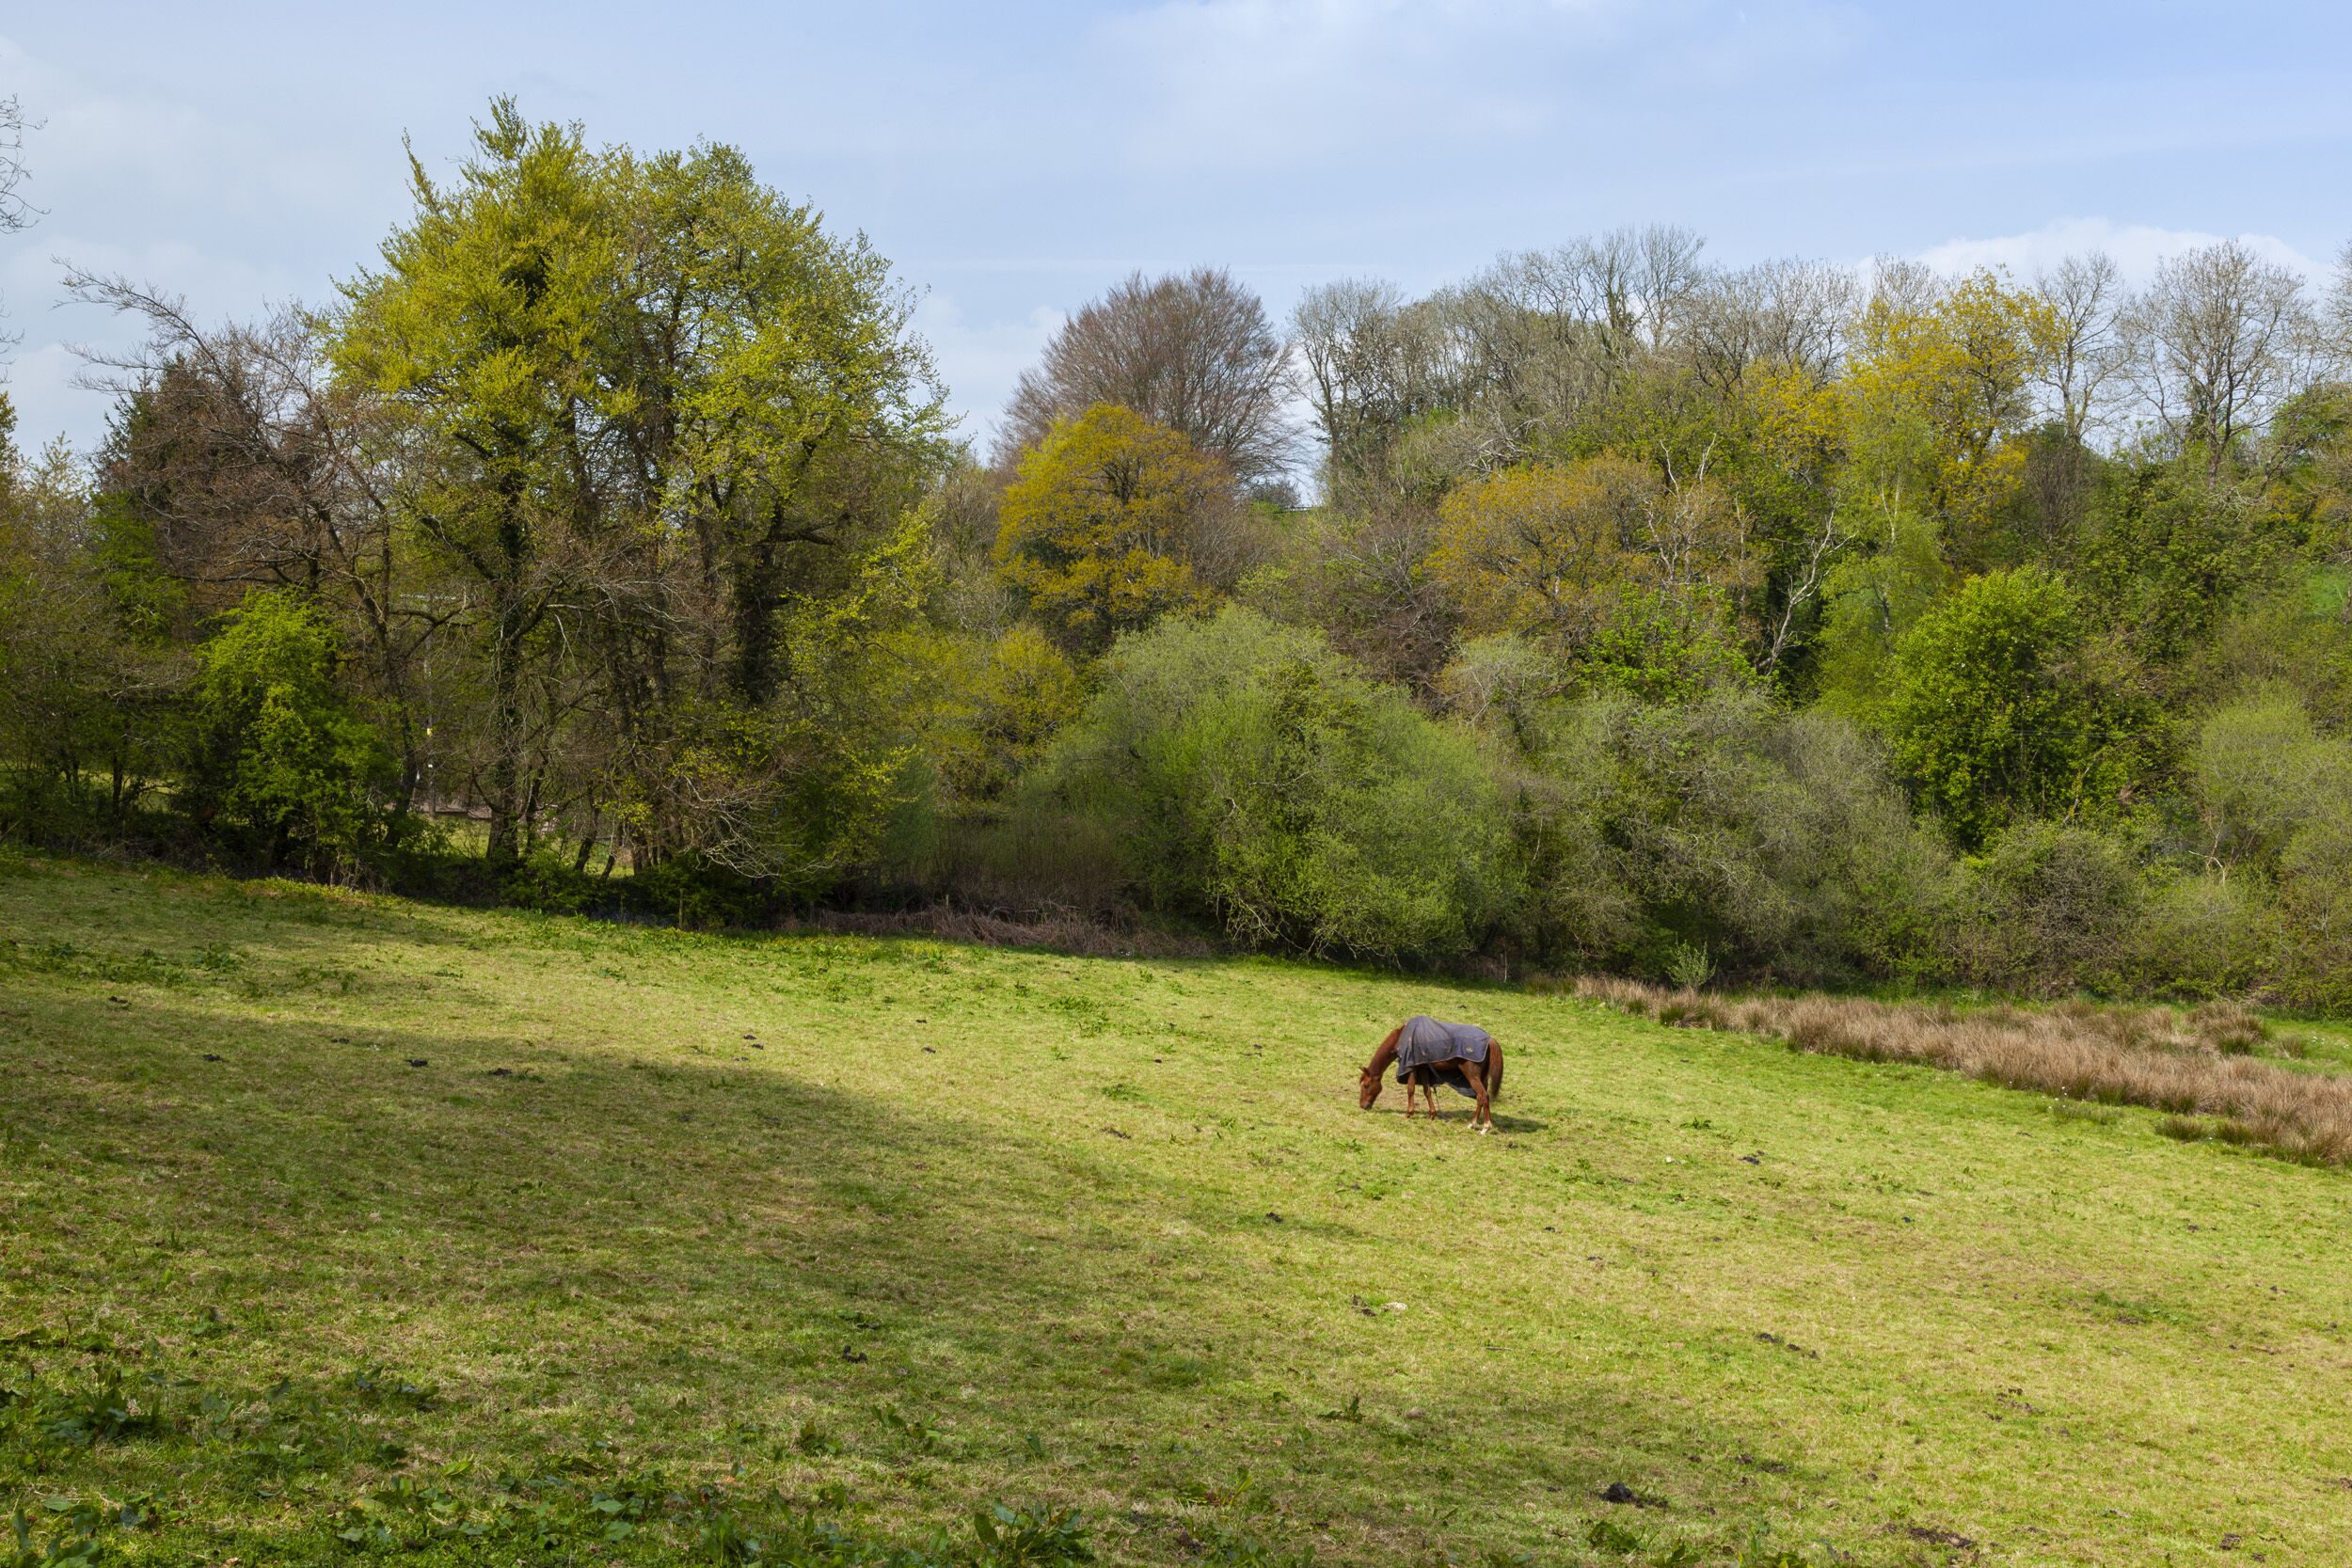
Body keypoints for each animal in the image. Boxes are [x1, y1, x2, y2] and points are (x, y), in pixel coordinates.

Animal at [1357, 1018, 1504, 1132]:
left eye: (1366, 1085)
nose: (1363, 1106)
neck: (1404, 1036)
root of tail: (1489, 1040)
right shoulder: (1423, 1068)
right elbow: (1427, 1090)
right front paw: (1432, 1114)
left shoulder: (1411, 1066)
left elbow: (1411, 1089)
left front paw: (1409, 1113)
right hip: (1482, 1078)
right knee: (1481, 1097)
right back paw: (1475, 1124)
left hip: (1472, 1076)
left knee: (1482, 1096)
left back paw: (1484, 1127)